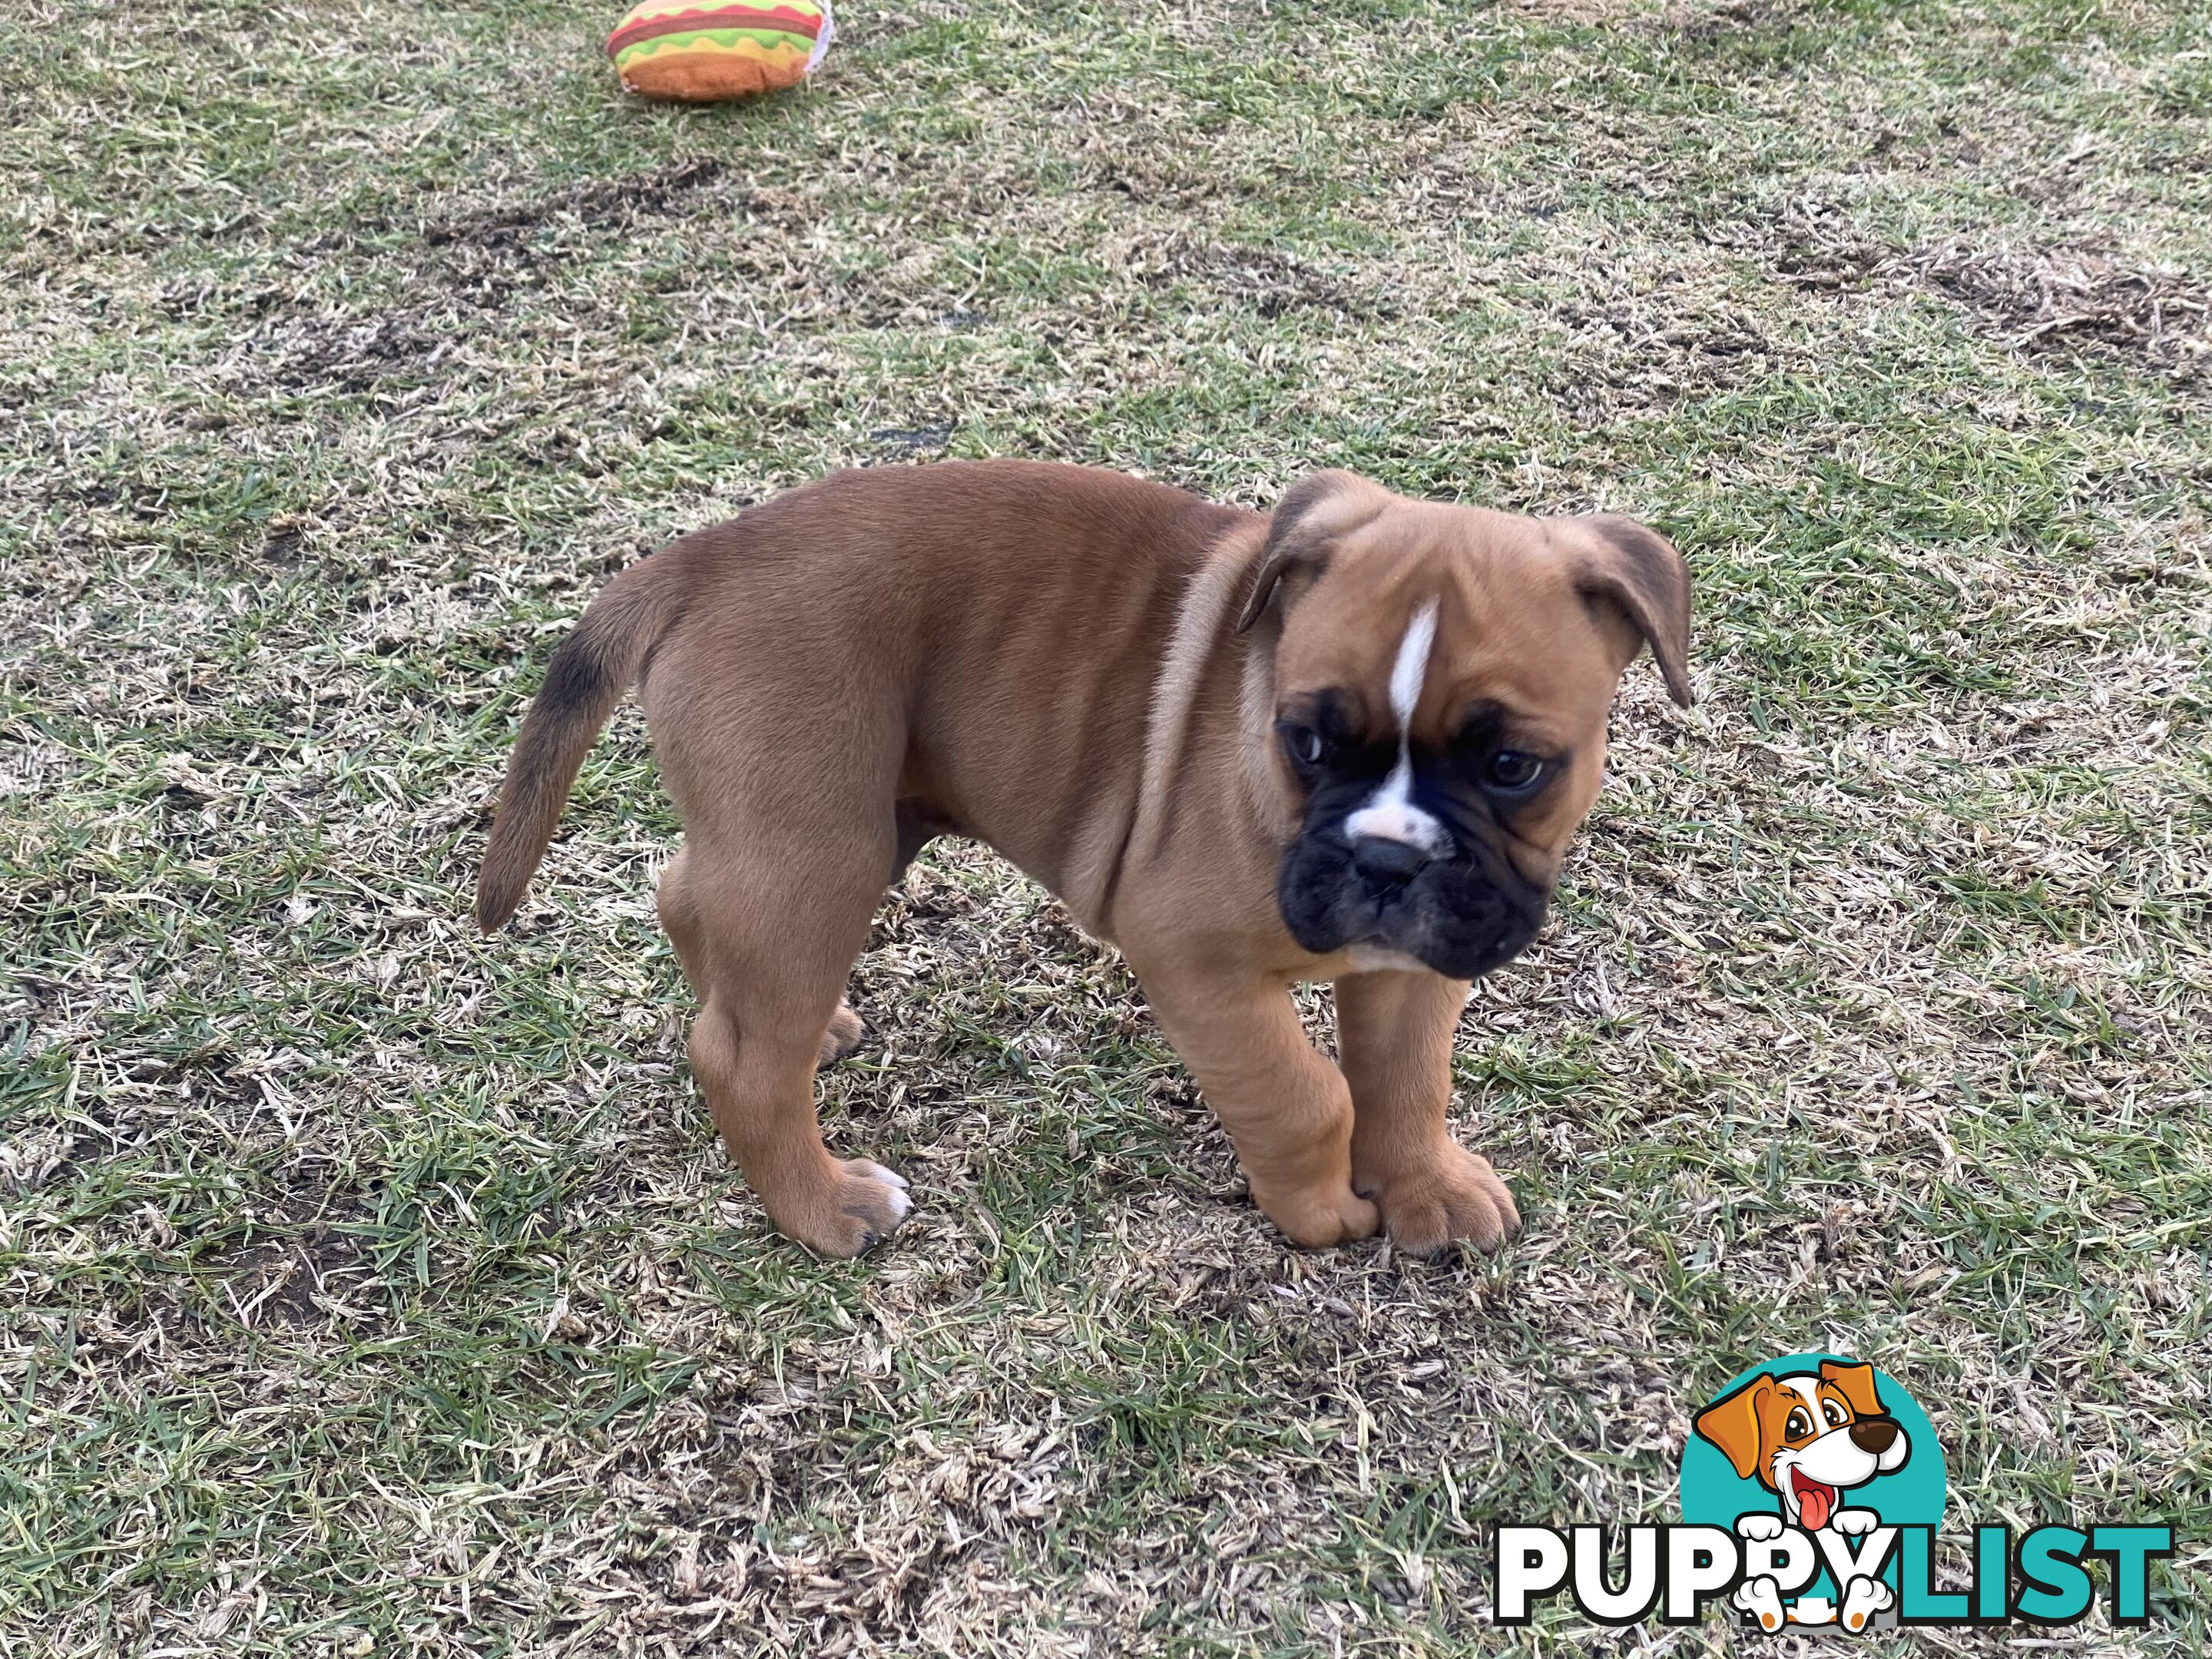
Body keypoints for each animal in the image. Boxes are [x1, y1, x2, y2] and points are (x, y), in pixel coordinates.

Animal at [479, 458, 1690, 1256]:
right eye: (1305, 740)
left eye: (1513, 767)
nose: (1388, 863)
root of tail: (703, 557)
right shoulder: (1196, 963)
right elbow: (1306, 1096)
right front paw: (1323, 1213)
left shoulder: (1416, 960)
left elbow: (1404, 1077)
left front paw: (1424, 1189)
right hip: (819, 848)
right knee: (736, 1054)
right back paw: (824, 1210)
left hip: (803, 839)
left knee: (691, 900)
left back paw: (812, 1029)